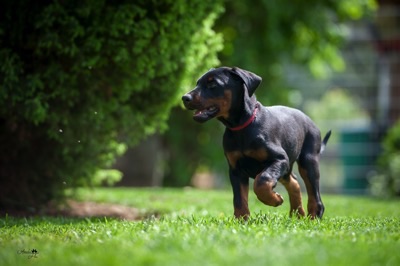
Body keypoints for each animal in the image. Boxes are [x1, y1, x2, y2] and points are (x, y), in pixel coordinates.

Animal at [182, 67, 332, 220]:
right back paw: (297, 213)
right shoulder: (235, 169)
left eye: (212, 84)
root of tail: (310, 121)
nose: (185, 98)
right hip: (287, 169)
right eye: (197, 83)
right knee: (294, 182)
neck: (241, 127)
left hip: (308, 161)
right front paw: (241, 220)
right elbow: (239, 198)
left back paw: (313, 216)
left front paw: (274, 200)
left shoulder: (279, 159)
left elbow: (261, 181)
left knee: (314, 194)